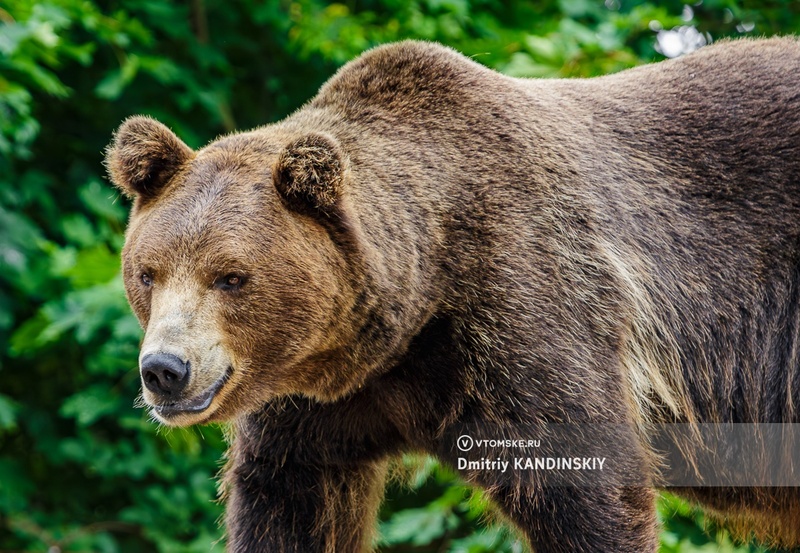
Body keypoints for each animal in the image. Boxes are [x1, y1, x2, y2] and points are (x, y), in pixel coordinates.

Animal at [106, 38, 800, 552]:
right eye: (148, 272)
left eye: (231, 276)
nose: (165, 369)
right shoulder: (306, 403)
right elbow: (289, 502)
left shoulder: (528, 304)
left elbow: (589, 487)